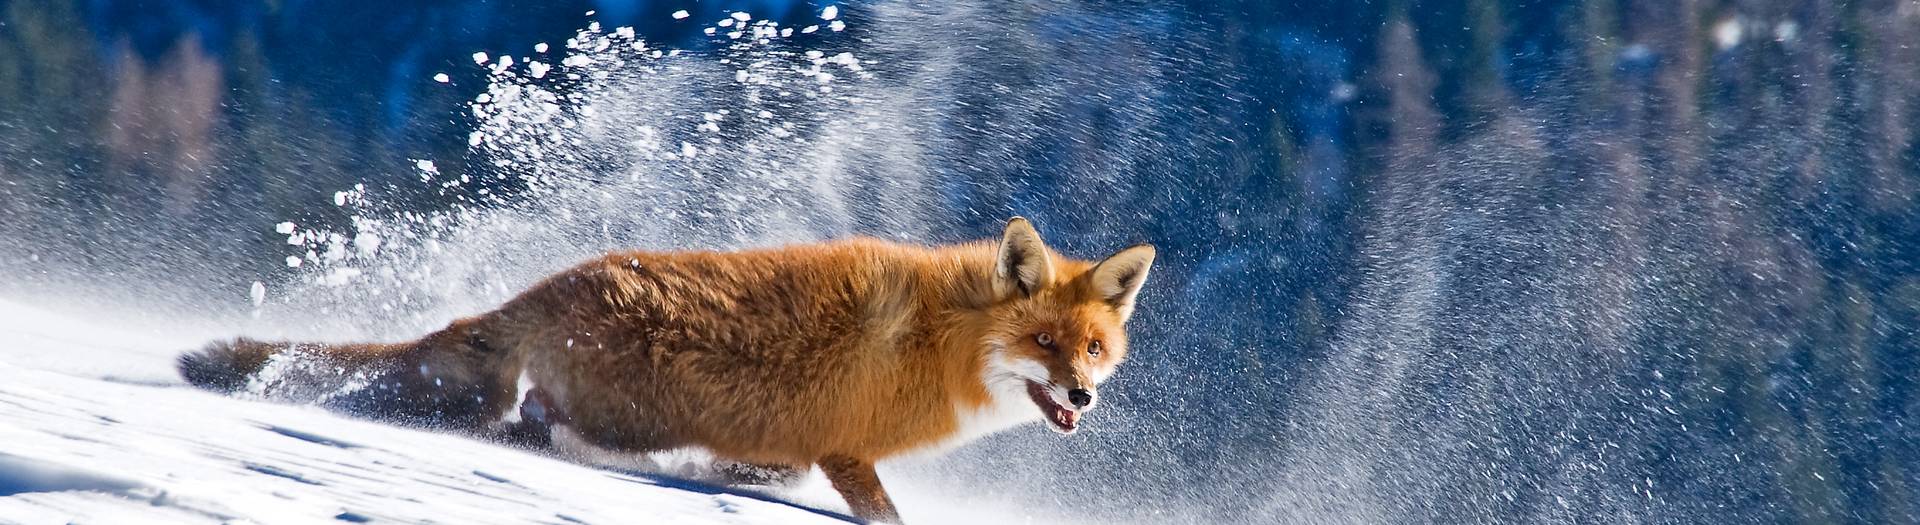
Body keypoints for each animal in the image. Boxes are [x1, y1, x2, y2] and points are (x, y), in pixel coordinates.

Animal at [183, 215, 1152, 519]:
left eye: (1093, 348)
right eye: (1043, 343)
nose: (1081, 393)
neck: (938, 342)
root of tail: (560, 281)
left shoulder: (804, 444)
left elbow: (771, 468)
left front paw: (736, 478)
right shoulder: (848, 451)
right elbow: (883, 513)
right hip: (629, 414)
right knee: (528, 422)